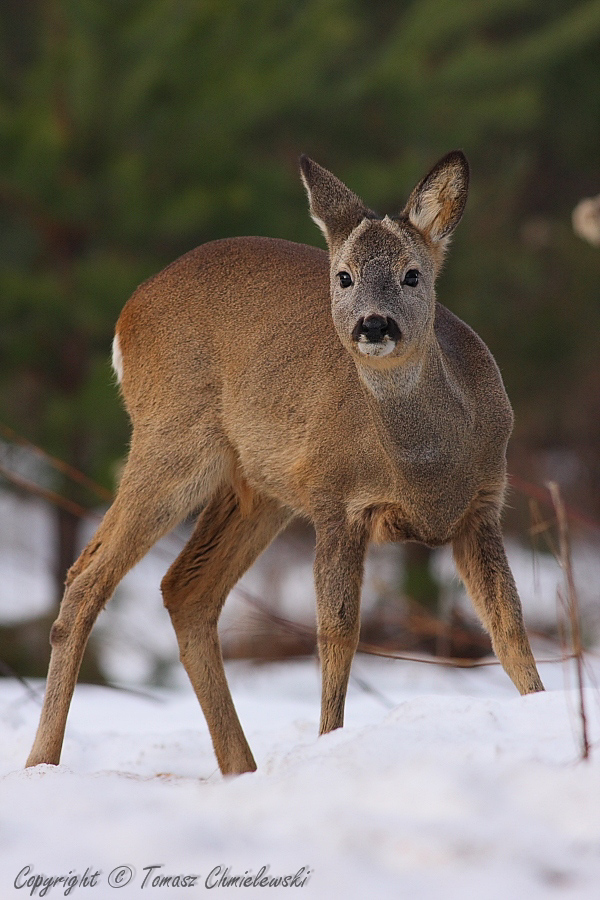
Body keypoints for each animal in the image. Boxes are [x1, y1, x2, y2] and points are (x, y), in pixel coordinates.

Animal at [27, 149, 544, 772]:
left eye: (412, 274)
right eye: (344, 276)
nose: (373, 324)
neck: (426, 472)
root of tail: (129, 313)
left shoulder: (483, 506)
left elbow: (509, 629)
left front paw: (542, 706)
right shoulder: (336, 500)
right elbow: (338, 633)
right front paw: (330, 741)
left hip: (257, 486)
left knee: (185, 589)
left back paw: (240, 767)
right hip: (172, 439)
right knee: (88, 576)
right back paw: (41, 761)